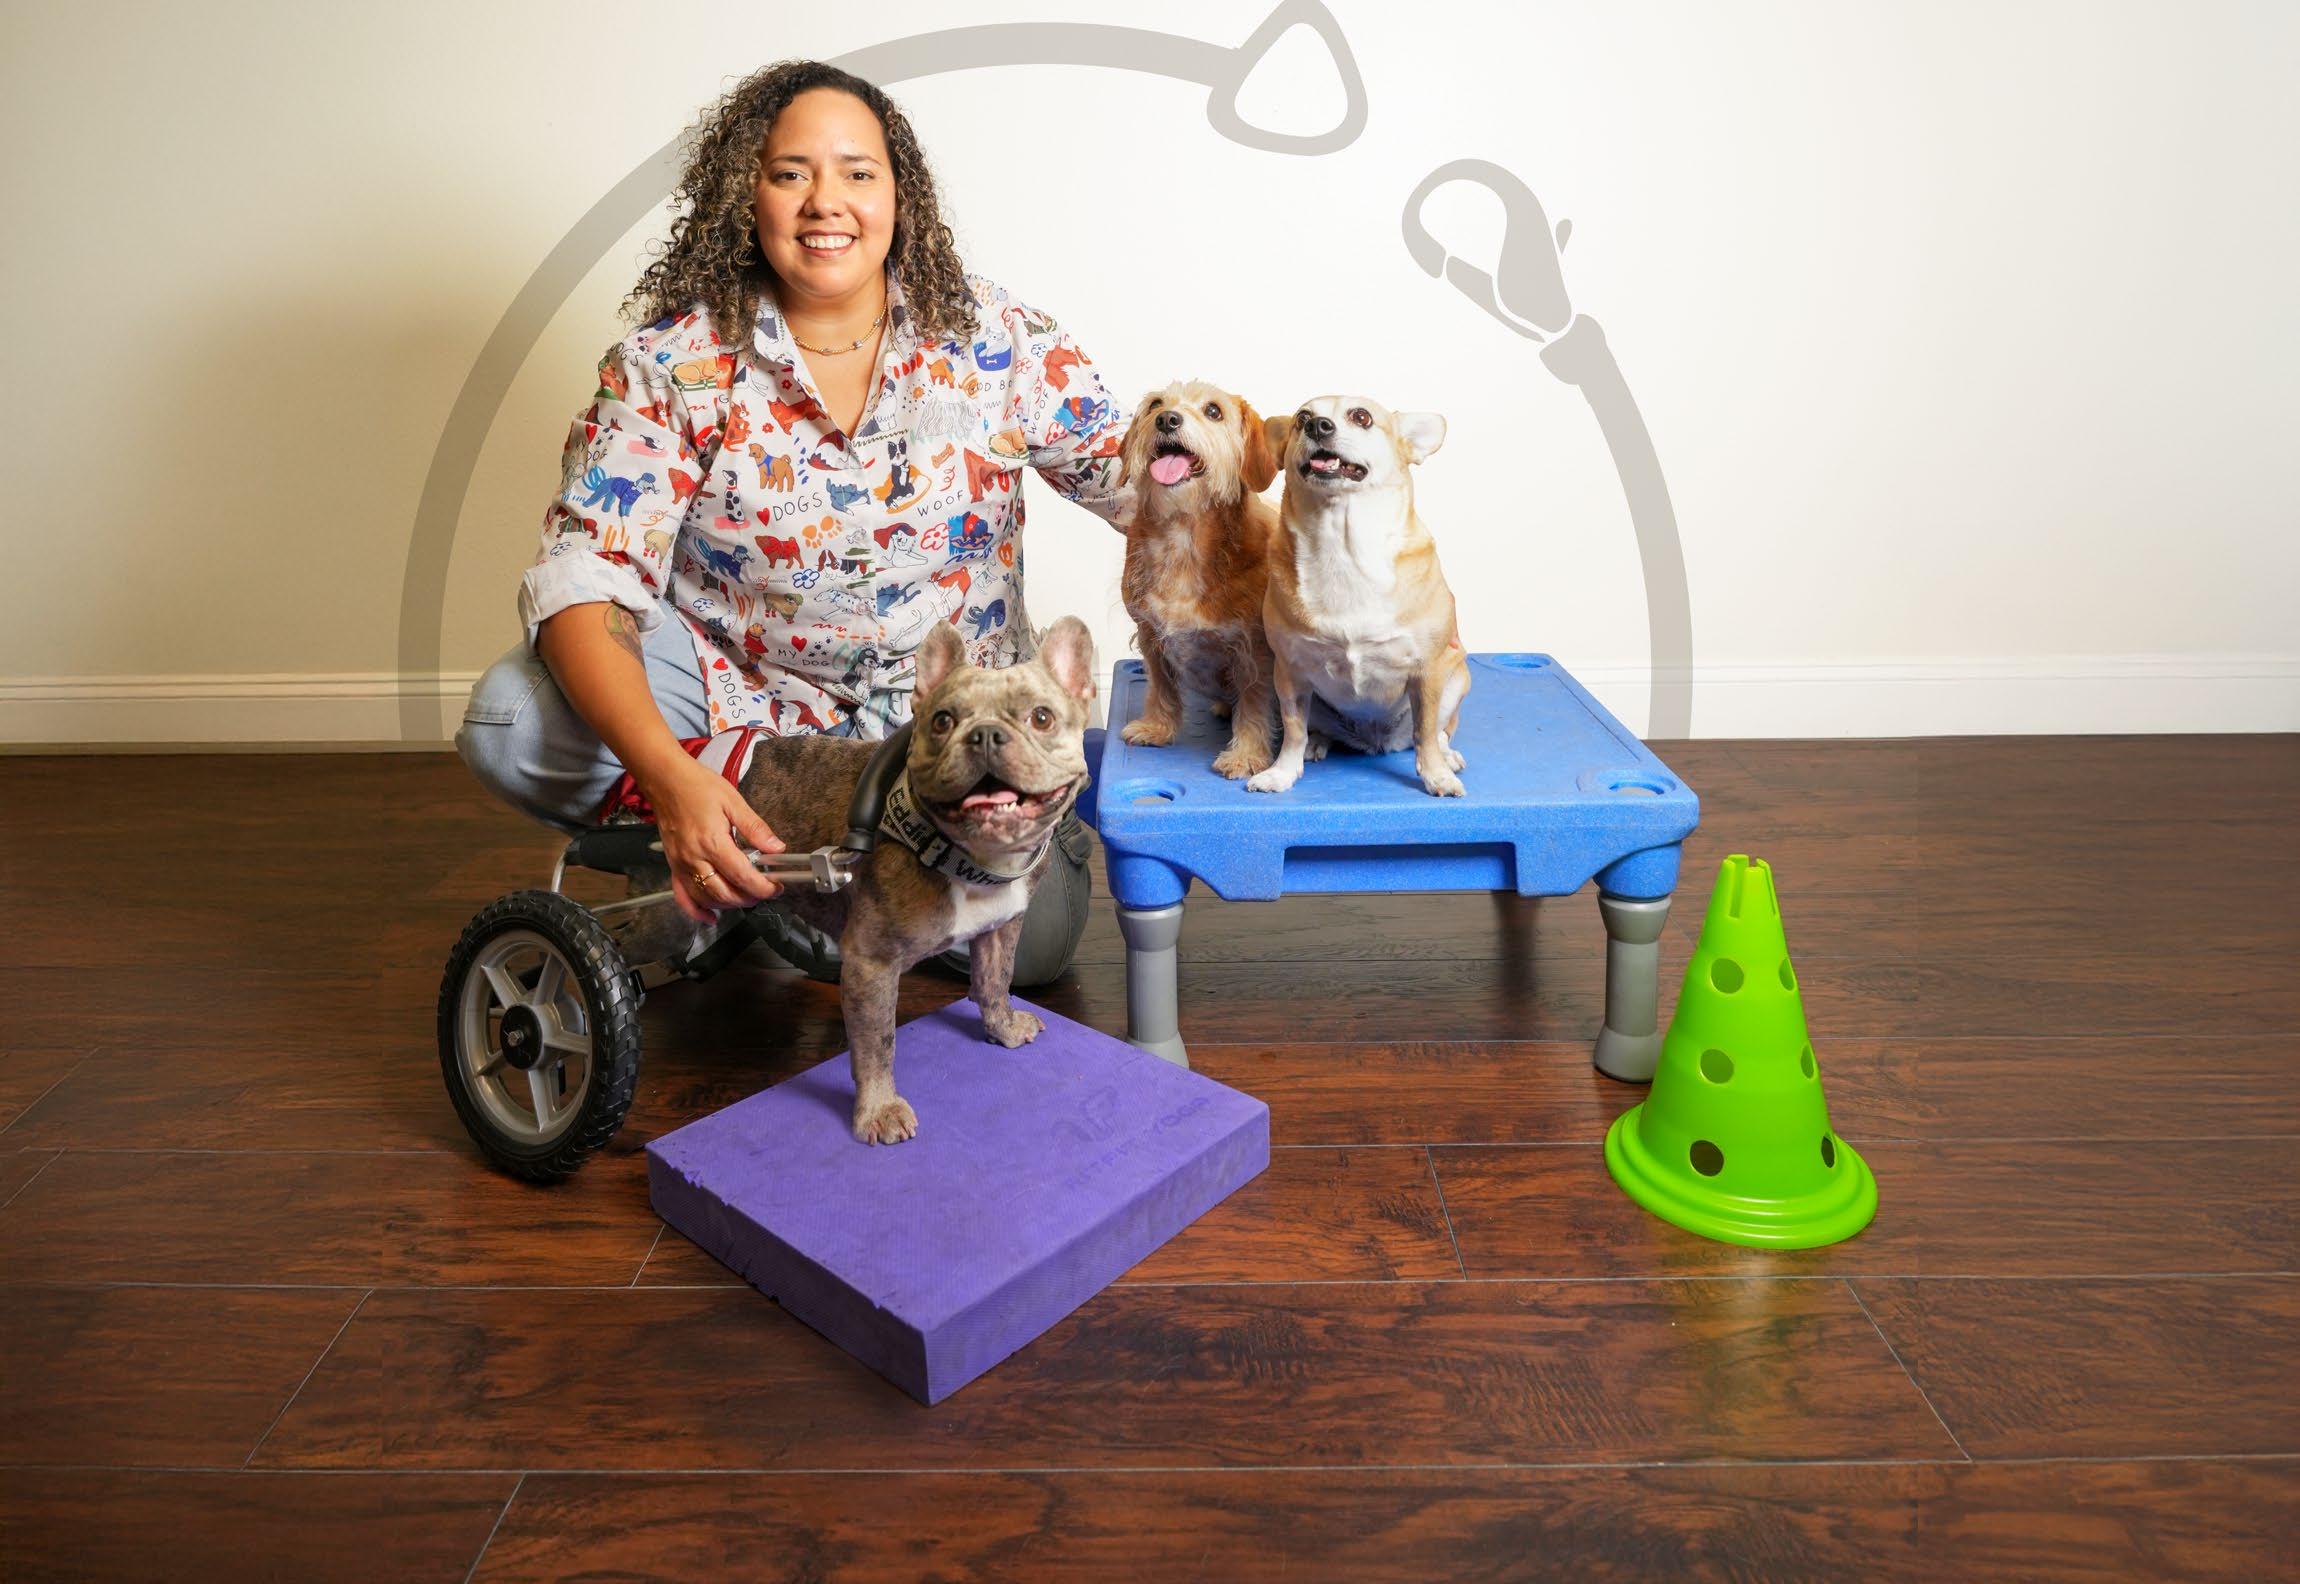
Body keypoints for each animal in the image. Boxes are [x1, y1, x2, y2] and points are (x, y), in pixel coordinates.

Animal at [738, 618, 1097, 1144]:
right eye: (943, 721)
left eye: (1042, 718)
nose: (985, 734)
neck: (967, 860)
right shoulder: (871, 964)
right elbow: (876, 1042)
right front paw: (879, 1109)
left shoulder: (1000, 929)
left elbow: (995, 981)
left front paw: (1002, 1029)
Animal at [1115, 379, 1281, 779]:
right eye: (1155, 405)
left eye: (1214, 411)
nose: (1167, 419)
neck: (1183, 533)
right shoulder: (1149, 634)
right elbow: (1160, 685)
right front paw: (1156, 727)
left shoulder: (1254, 649)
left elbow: (1254, 703)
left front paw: (1246, 754)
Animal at [1250, 396, 1469, 797]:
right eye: (1301, 418)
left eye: (1362, 417)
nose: (1318, 425)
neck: (1342, 545)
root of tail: (1376, 740)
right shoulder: (1289, 672)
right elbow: (1292, 730)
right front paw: (1282, 772)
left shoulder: (1427, 673)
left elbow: (1425, 732)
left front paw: (1436, 776)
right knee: (1312, 728)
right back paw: (1317, 742)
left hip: (1455, 679)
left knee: (1437, 732)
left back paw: (1447, 757)